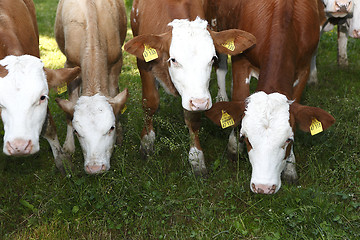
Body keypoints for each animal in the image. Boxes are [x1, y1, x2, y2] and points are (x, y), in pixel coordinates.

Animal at [54, 0, 129, 173]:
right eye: (77, 131)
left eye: (111, 128)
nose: (95, 168)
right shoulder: (70, 64)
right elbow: (71, 102)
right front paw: (69, 145)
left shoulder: (116, 62)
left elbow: (114, 92)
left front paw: (119, 135)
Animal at [124, 0, 256, 176]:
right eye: (174, 60)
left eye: (211, 58)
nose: (201, 103)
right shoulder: (143, 65)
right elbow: (150, 103)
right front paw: (147, 143)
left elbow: (192, 119)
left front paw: (196, 159)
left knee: (222, 67)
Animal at [204, 0, 336, 193]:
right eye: (246, 138)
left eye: (288, 140)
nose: (263, 187)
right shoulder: (241, 60)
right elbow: (238, 99)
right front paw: (234, 147)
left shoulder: (303, 68)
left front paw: (290, 168)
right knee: (221, 65)